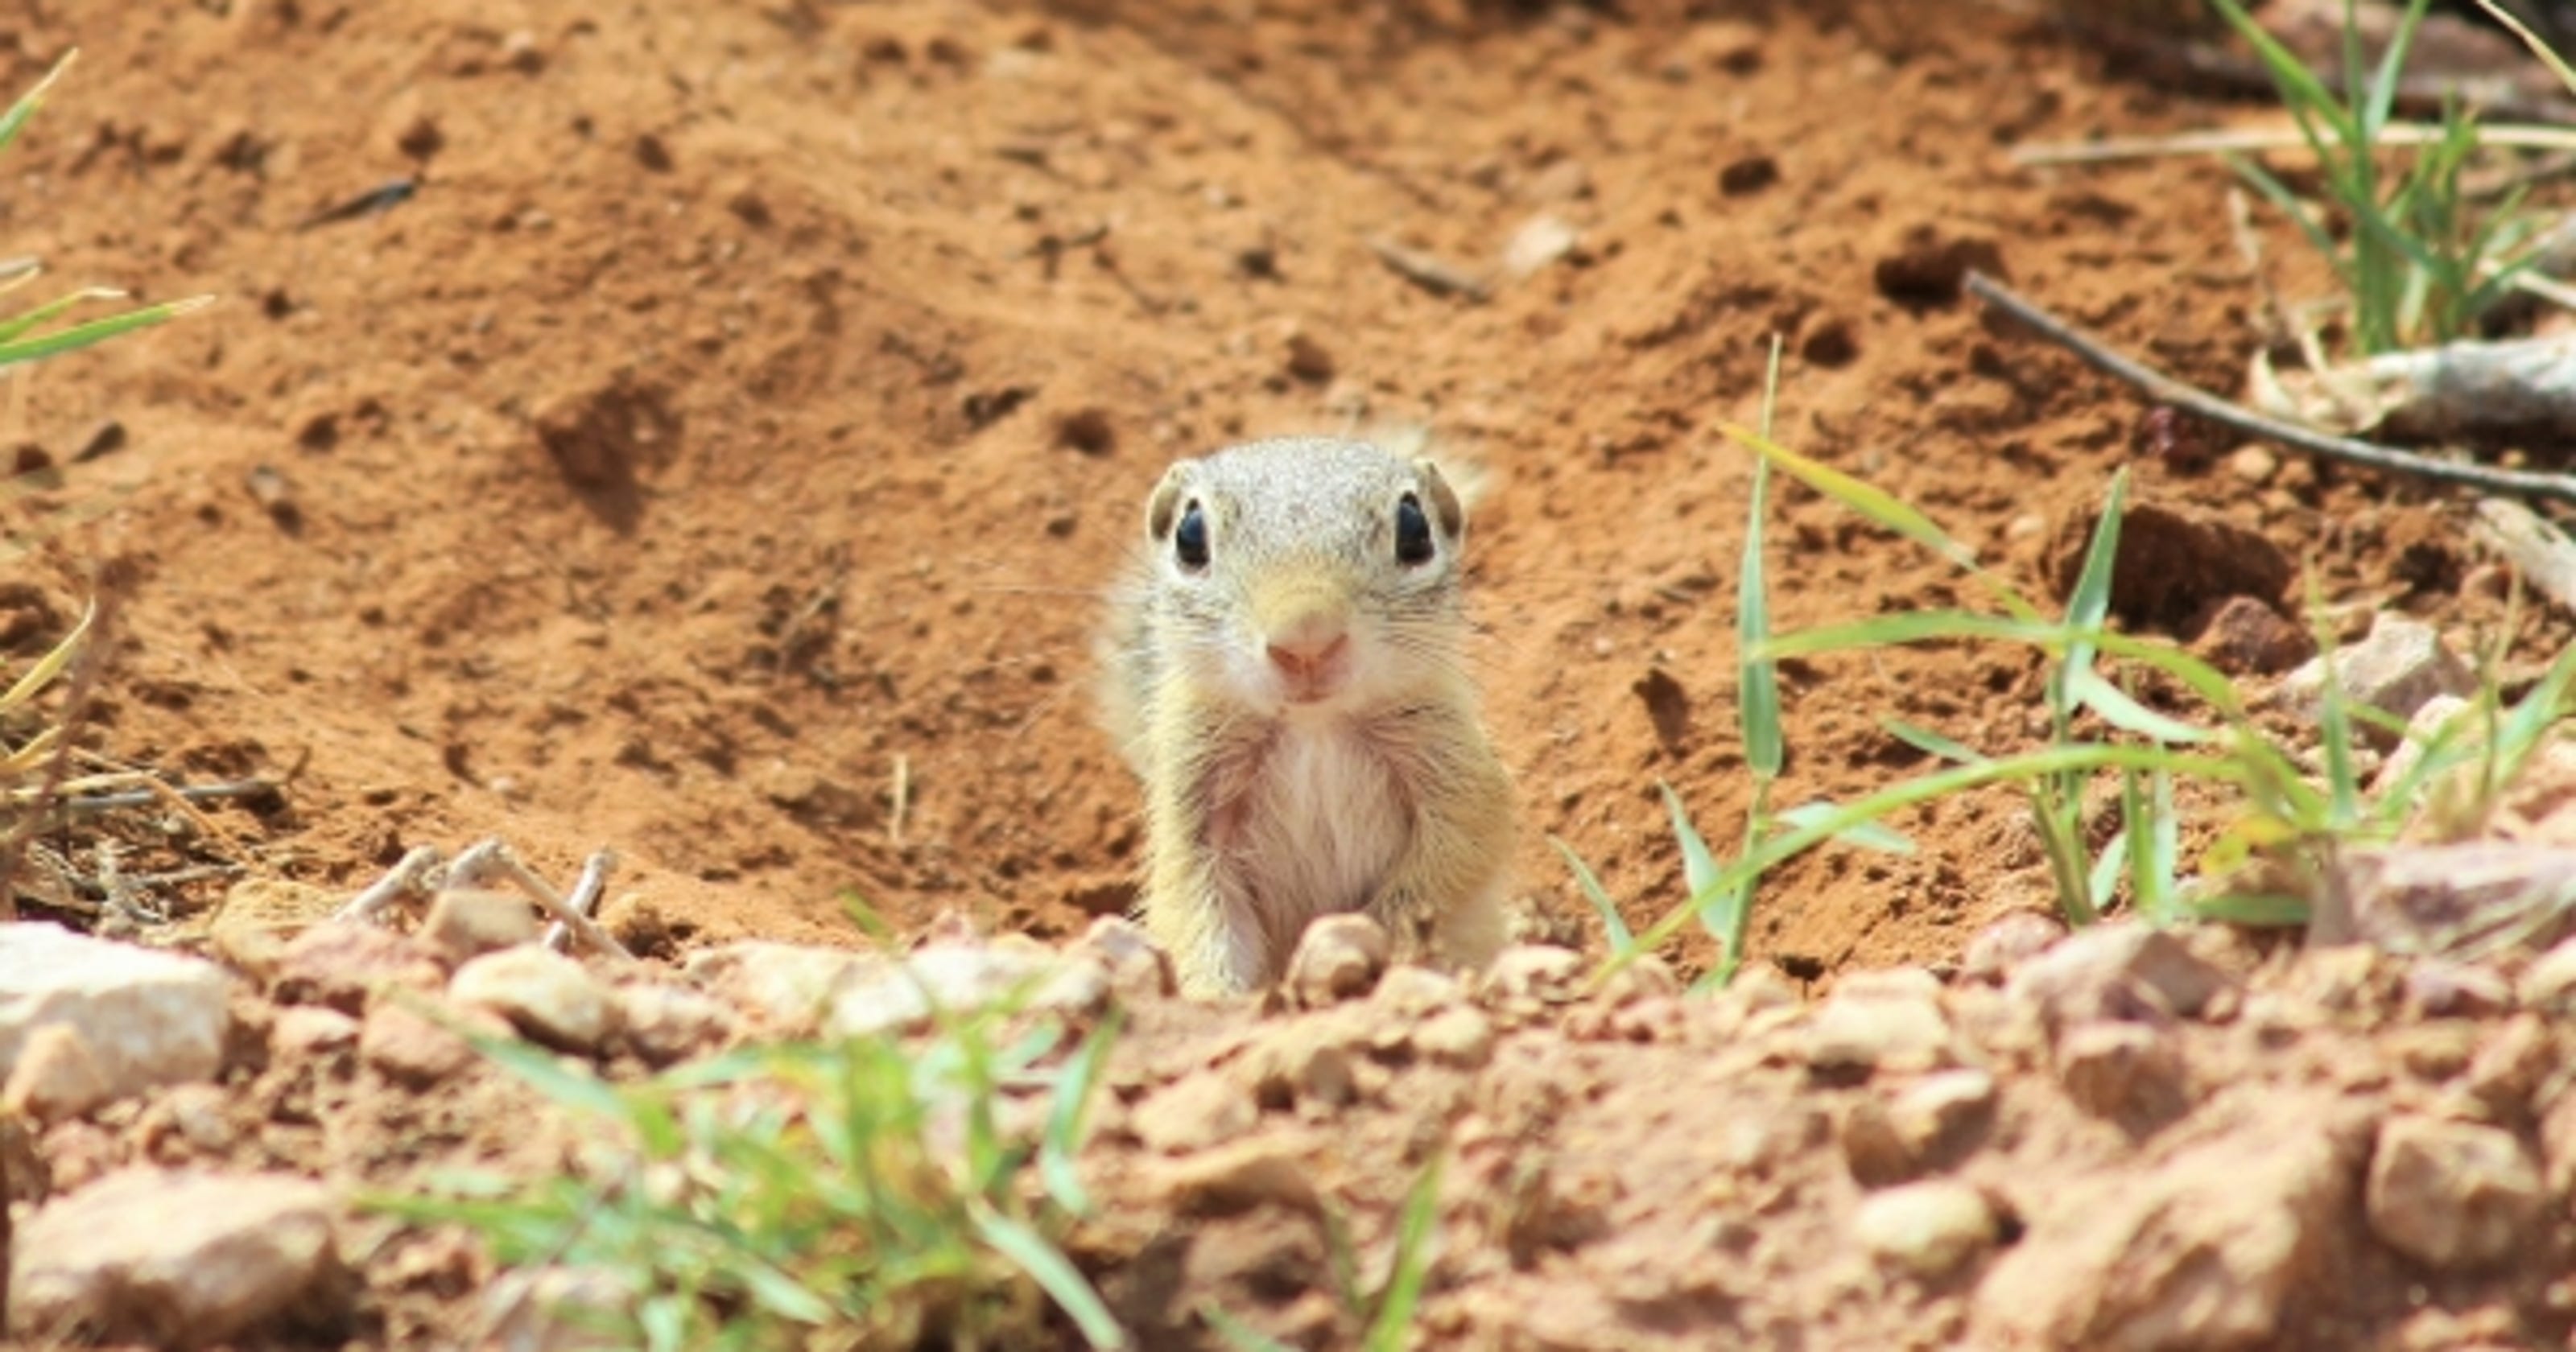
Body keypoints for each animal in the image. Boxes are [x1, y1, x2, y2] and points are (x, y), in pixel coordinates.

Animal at [1094, 435, 1517, 997]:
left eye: (1415, 530)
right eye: (1190, 537)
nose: (1306, 638)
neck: (1314, 726)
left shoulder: (1457, 774)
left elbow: (1451, 860)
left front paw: (1364, 945)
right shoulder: (1192, 808)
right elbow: (1195, 908)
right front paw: (1216, 995)